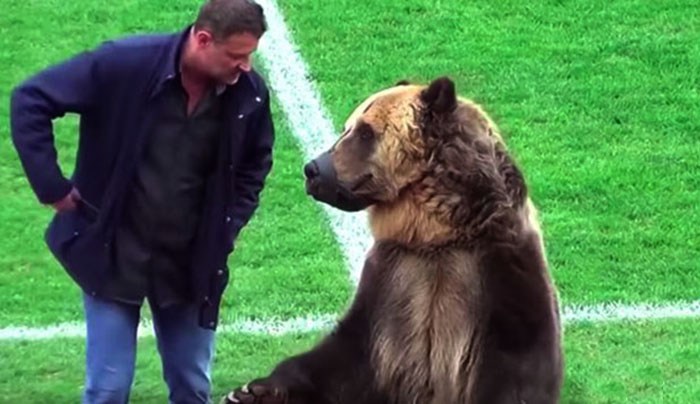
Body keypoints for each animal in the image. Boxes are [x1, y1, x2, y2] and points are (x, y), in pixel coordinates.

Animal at [221, 76, 564, 404]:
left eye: (364, 132)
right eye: (347, 127)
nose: (313, 169)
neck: (435, 232)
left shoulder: (499, 269)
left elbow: (519, 362)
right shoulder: (392, 276)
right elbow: (344, 357)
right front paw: (250, 391)